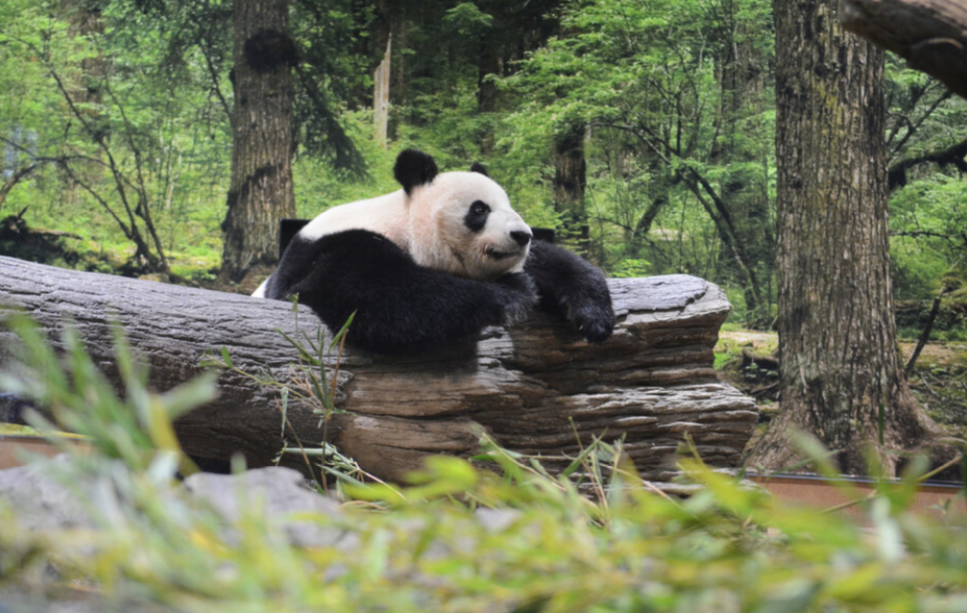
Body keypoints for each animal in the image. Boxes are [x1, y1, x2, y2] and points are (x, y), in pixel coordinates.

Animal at [255, 147, 612, 354]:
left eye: (509, 206)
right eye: (479, 209)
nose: (521, 234)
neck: (403, 222)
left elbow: (550, 262)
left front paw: (593, 317)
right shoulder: (334, 250)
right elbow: (384, 296)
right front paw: (514, 290)